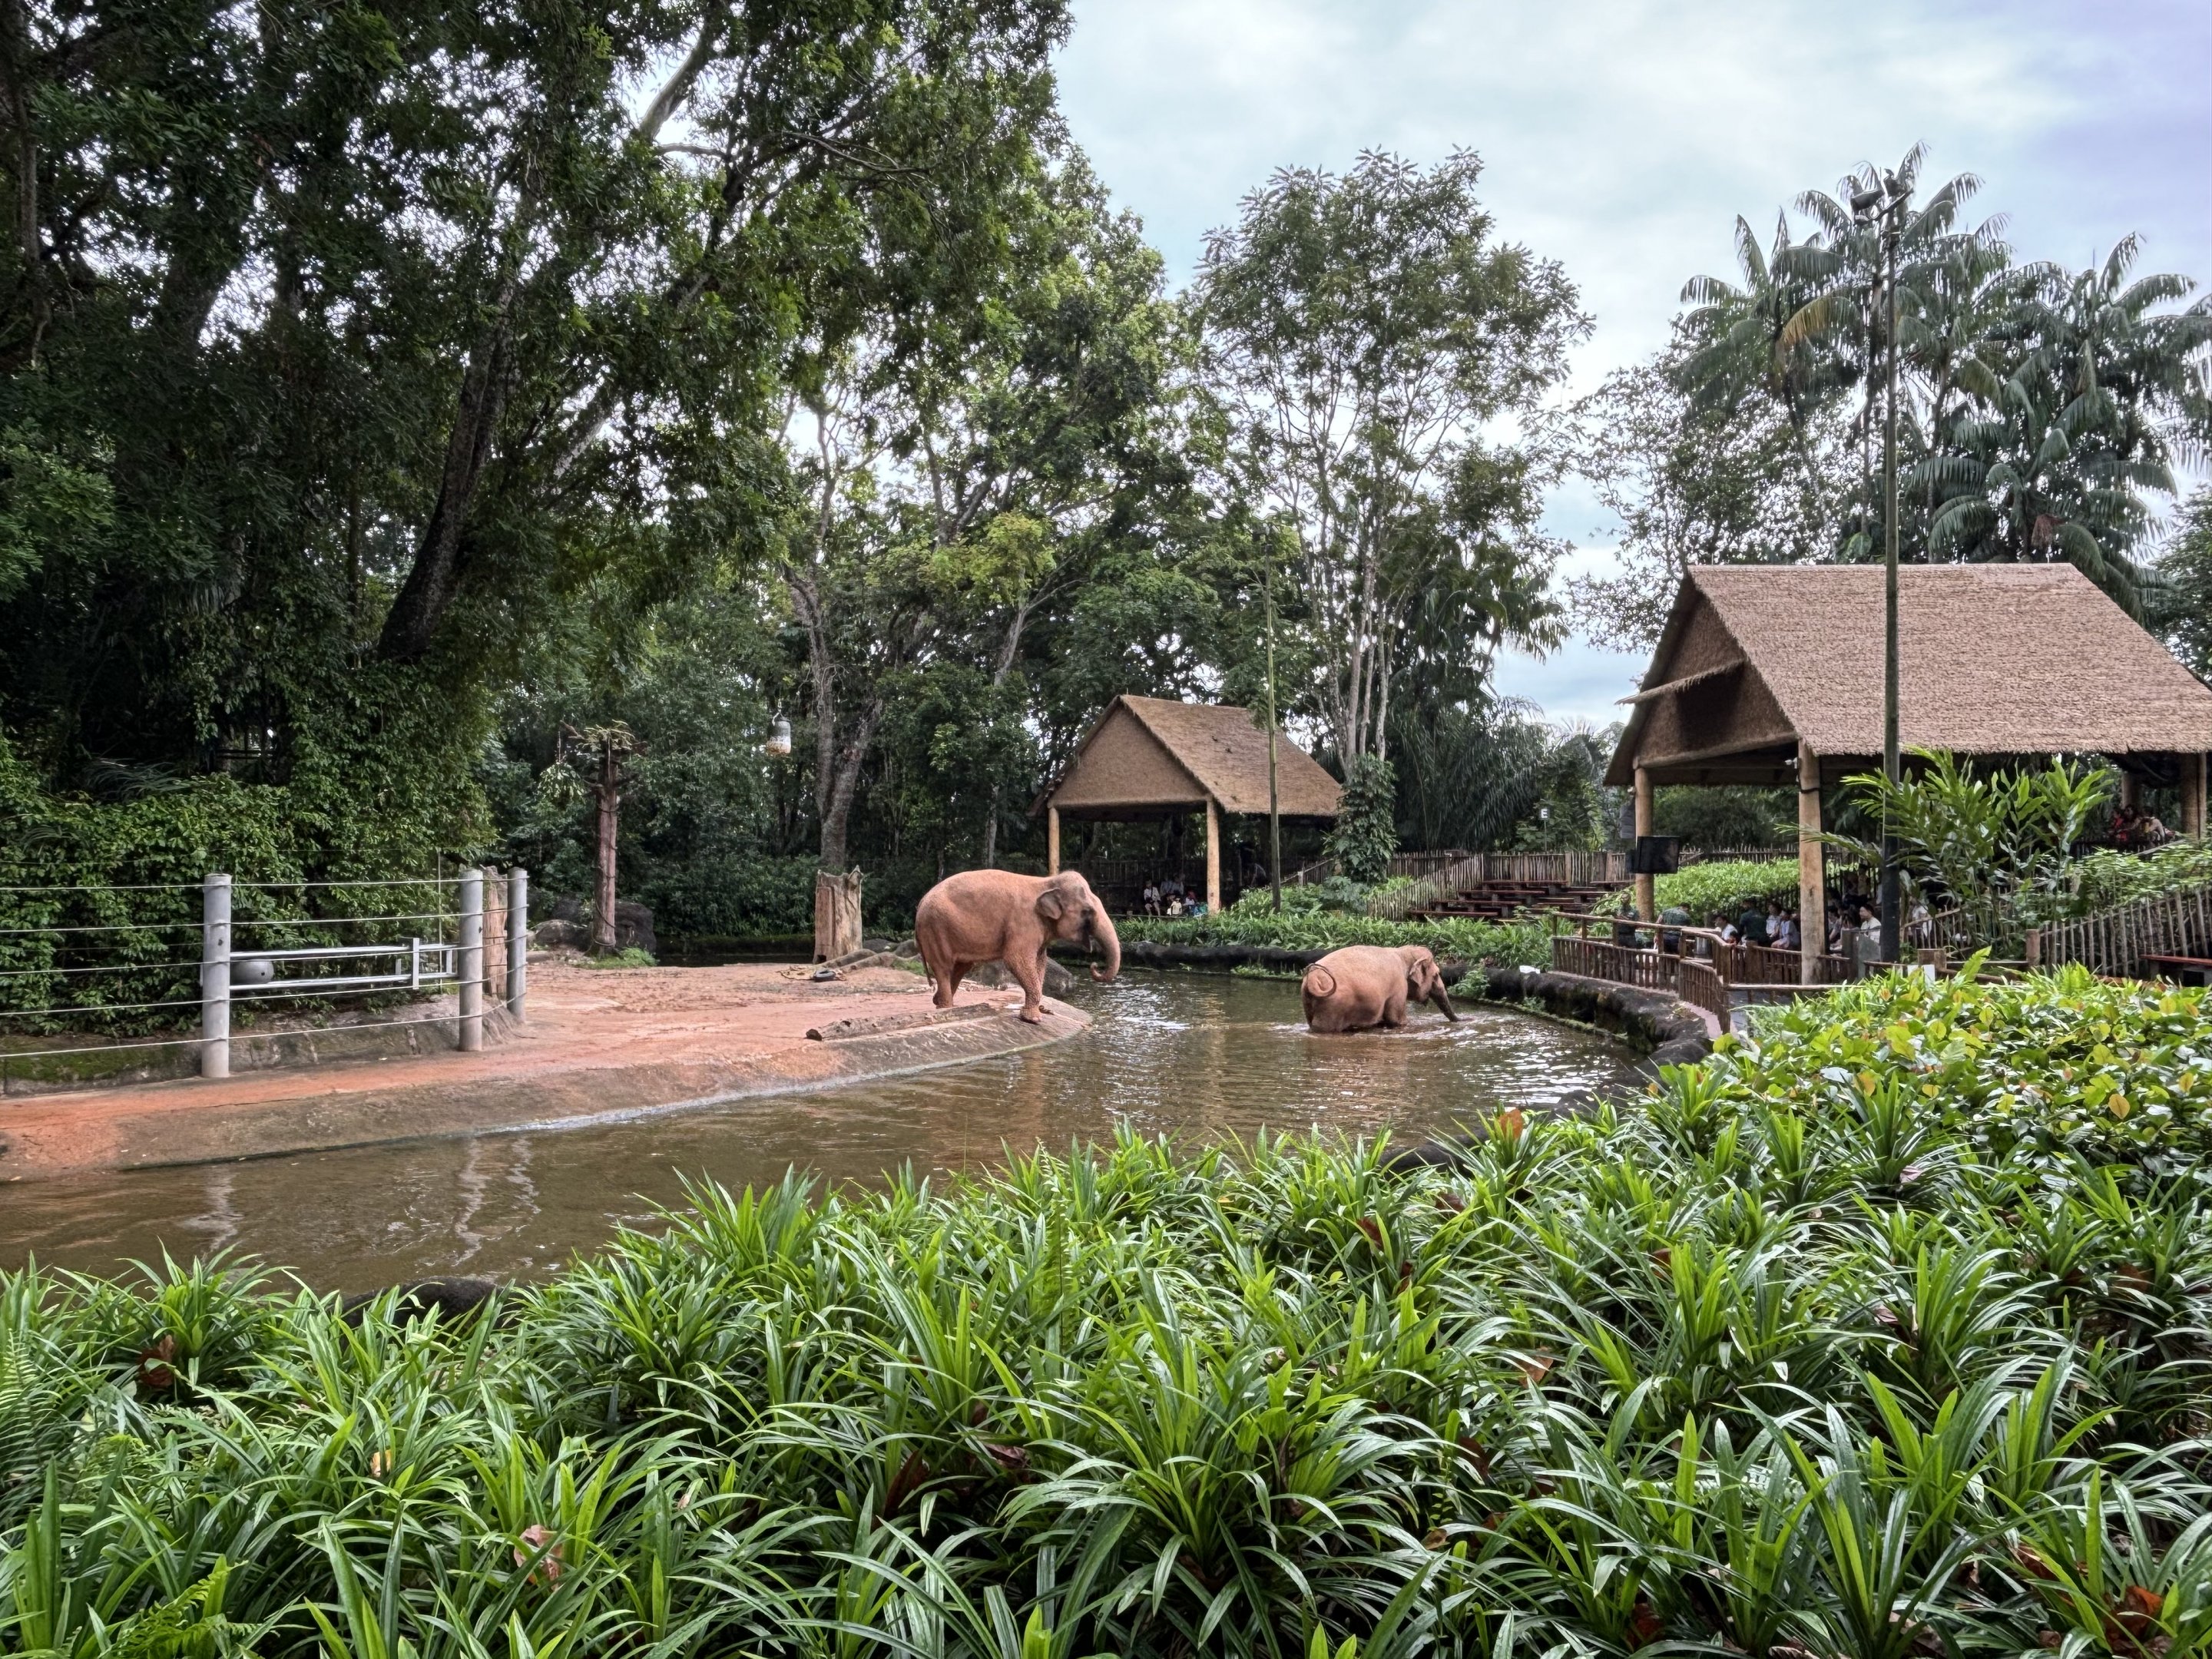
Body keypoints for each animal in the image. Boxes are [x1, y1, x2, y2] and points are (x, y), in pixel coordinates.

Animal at [914, 869, 1121, 1023]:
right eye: (1087, 911)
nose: (1094, 966)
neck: (1046, 882)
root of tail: (920, 903)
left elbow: (1039, 962)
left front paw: (1039, 1013)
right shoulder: (1024, 923)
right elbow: (1016, 960)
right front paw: (1033, 1019)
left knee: (960, 968)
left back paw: (940, 1002)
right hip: (935, 929)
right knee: (944, 968)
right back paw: (945, 1009)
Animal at [1300, 944, 1458, 1033]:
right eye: (1437, 975)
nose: (1460, 1020)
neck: (1403, 953)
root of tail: (1313, 977)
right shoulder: (1398, 987)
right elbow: (1397, 1020)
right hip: (1333, 1006)